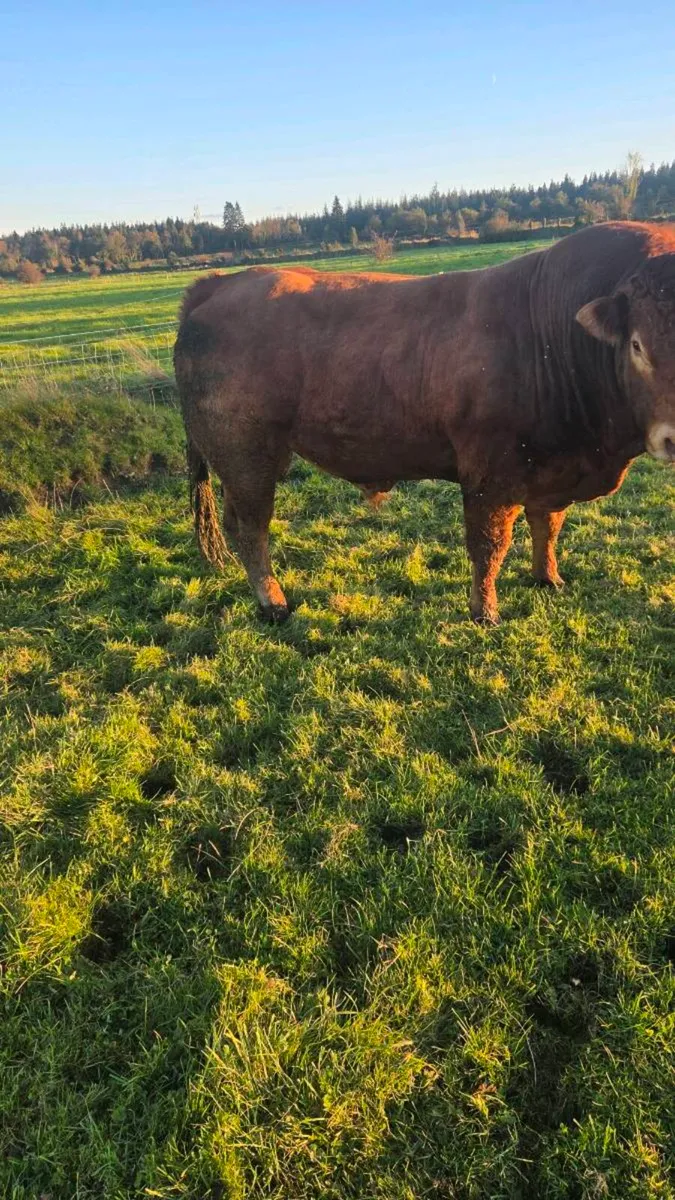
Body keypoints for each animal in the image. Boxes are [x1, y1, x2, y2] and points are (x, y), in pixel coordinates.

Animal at [173, 222, 675, 624]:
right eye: (636, 345)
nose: (671, 437)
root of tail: (221, 283)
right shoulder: (489, 476)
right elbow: (489, 546)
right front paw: (484, 612)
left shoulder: (552, 468)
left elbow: (547, 526)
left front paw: (547, 578)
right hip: (245, 457)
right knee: (249, 527)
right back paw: (273, 603)